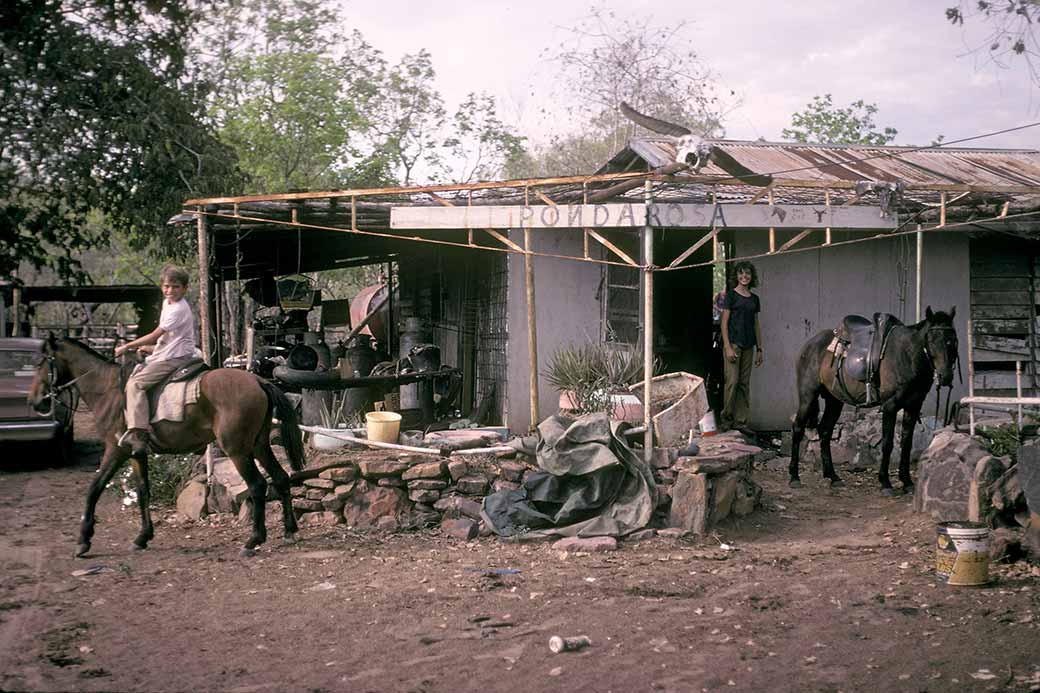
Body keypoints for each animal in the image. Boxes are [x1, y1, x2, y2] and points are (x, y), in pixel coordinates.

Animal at [28, 335, 303, 557]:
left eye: (42, 362)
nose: (34, 401)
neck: (108, 390)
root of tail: (258, 382)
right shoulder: (136, 453)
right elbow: (143, 491)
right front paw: (142, 537)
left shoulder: (116, 450)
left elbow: (94, 489)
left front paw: (84, 540)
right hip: (258, 445)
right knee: (280, 478)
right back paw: (289, 531)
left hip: (237, 450)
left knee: (257, 485)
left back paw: (253, 540)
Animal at [794, 305, 956, 491]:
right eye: (932, 340)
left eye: (953, 340)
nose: (946, 376)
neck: (908, 355)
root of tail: (810, 345)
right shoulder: (890, 406)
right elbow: (887, 443)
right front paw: (885, 482)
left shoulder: (913, 405)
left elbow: (907, 443)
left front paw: (907, 481)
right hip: (807, 395)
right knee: (798, 427)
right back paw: (794, 477)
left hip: (834, 400)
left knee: (825, 430)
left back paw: (833, 476)